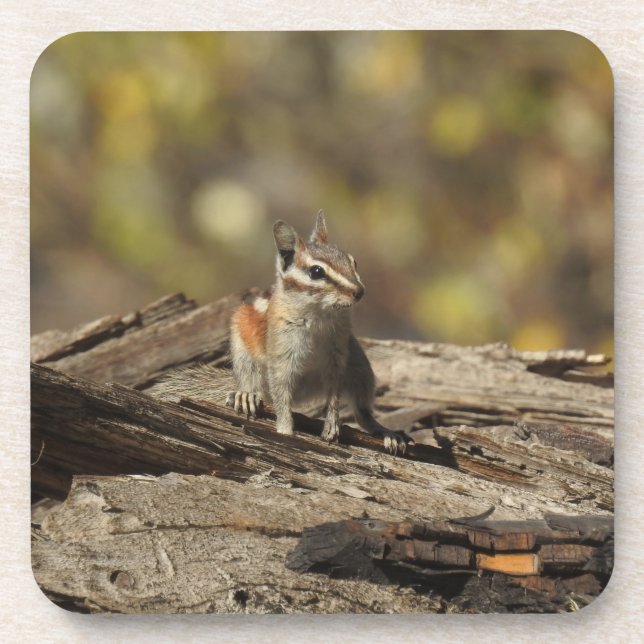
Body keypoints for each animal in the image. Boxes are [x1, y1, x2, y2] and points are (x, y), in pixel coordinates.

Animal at [225, 210, 408, 455]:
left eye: (353, 261)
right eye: (316, 271)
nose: (359, 291)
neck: (319, 315)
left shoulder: (337, 356)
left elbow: (334, 394)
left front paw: (331, 423)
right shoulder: (283, 354)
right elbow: (281, 394)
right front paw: (285, 430)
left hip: (359, 364)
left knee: (362, 414)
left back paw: (387, 433)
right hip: (243, 352)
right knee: (257, 387)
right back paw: (246, 395)